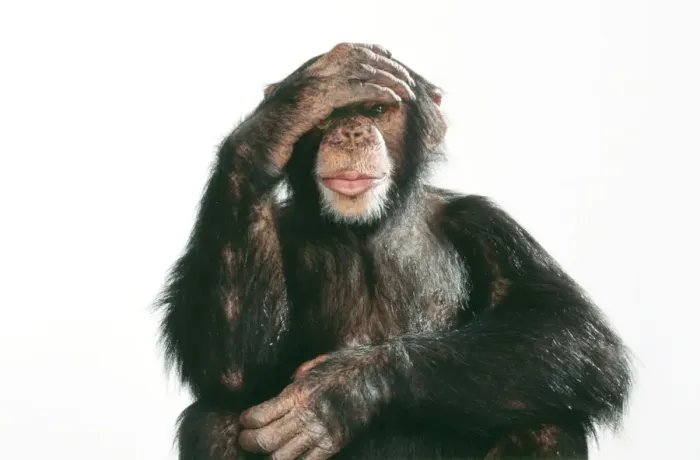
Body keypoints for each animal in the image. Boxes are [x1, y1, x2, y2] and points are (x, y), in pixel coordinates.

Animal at [157, 42, 632, 459]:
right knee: (216, 418)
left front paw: (340, 392)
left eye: (377, 111)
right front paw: (295, 104)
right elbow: (236, 369)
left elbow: (569, 329)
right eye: (327, 116)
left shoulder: (487, 225)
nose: (350, 130)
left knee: (548, 422)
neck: (366, 226)